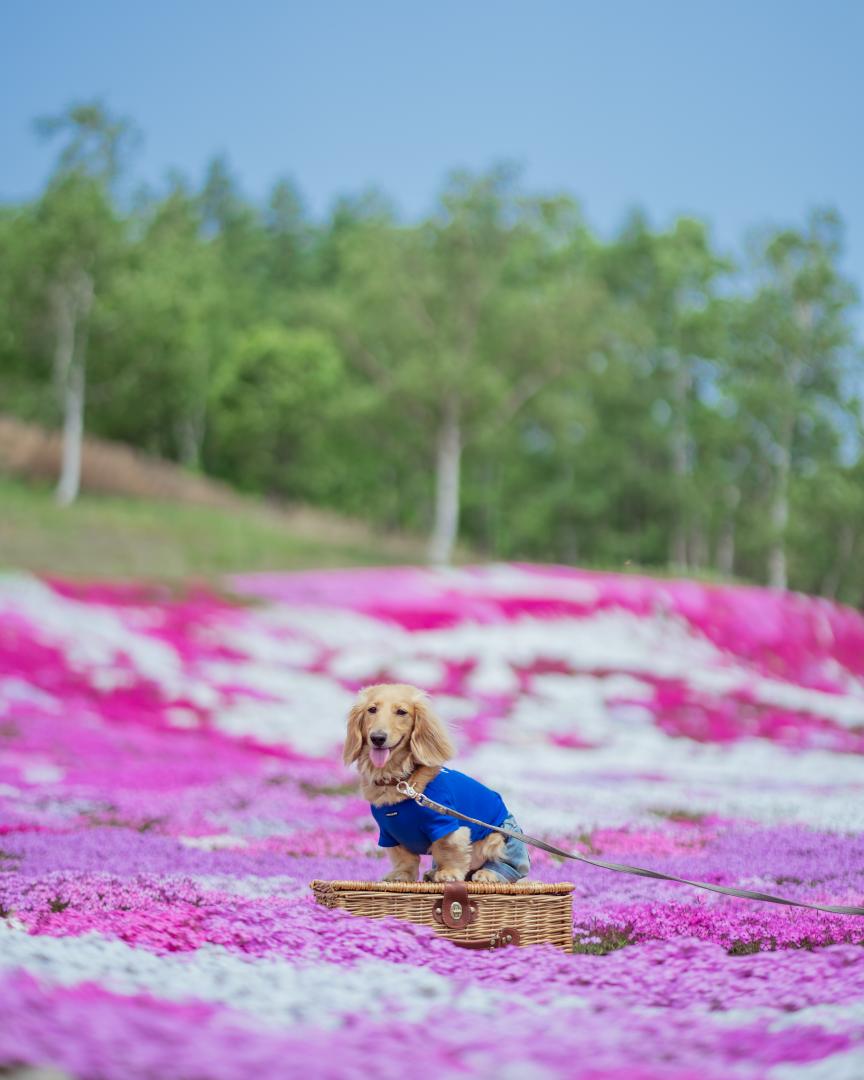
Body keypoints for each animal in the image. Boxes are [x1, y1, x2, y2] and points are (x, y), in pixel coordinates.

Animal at [343, 686, 529, 881]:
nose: (377, 738)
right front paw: (400, 875)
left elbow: (447, 849)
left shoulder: (446, 825)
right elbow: (404, 859)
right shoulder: (389, 834)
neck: (399, 781)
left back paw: (486, 874)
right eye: (372, 710)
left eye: (401, 712)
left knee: (505, 865)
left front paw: (448, 873)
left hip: (499, 837)